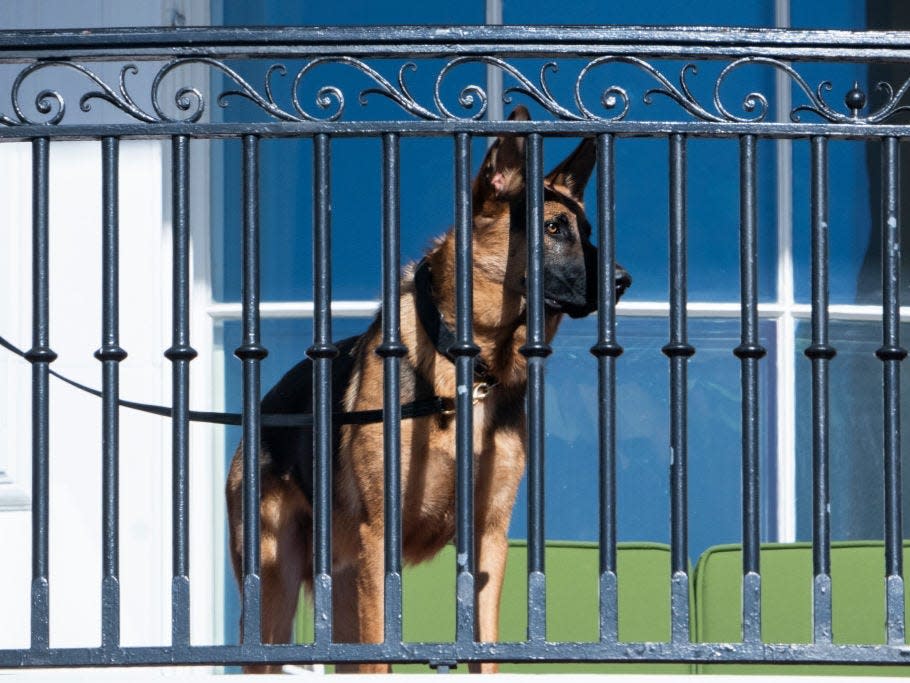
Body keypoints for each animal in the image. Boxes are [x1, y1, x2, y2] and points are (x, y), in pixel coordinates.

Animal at [224, 105, 632, 672]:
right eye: (554, 227)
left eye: (587, 230)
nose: (623, 281)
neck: (470, 365)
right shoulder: (381, 540)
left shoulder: (488, 540)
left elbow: (485, 650)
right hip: (276, 593)